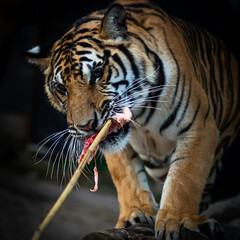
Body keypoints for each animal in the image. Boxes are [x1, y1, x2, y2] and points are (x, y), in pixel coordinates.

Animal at [25, 0, 239, 239]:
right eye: (62, 88)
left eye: (97, 73)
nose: (86, 126)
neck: (142, 117)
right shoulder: (115, 142)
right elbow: (125, 176)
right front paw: (135, 214)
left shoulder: (199, 125)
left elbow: (185, 178)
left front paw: (180, 221)